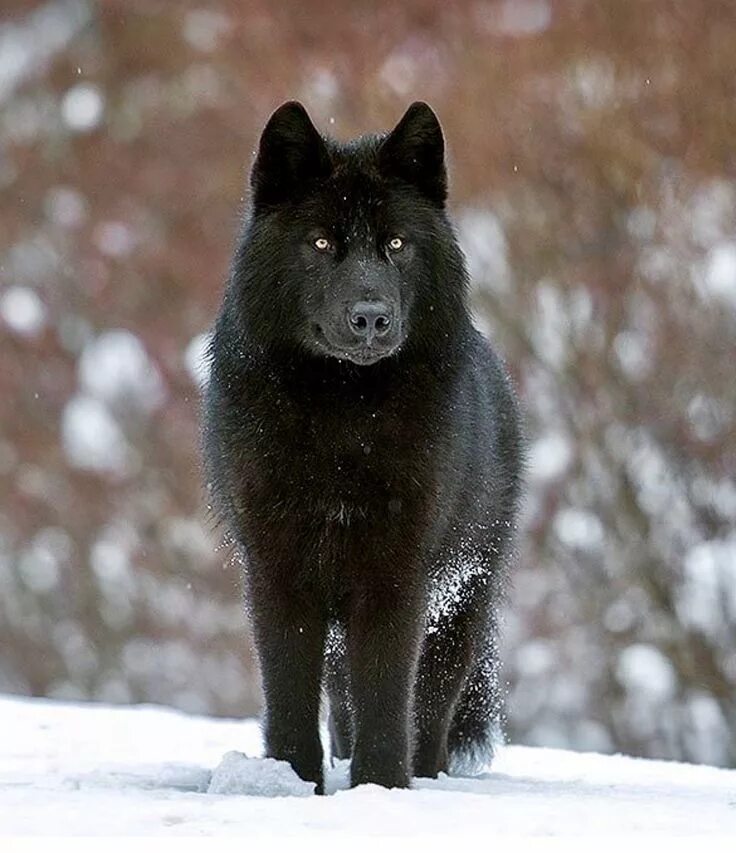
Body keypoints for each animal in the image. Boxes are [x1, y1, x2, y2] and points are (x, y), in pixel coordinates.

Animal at [203, 101, 524, 792]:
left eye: (396, 244)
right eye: (322, 243)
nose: (371, 317)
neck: (342, 419)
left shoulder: (394, 580)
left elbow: (387, 701)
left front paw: (381, 789)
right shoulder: (279, 576)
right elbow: (291, 700)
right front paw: (293, 782)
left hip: (455, 612)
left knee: (427, 714)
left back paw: (422, 778)